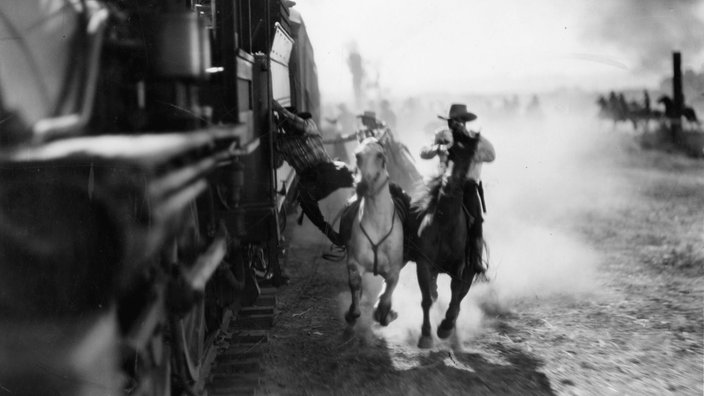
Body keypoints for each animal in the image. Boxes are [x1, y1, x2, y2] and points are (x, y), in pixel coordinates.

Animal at [344, 138, 404, 326]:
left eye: (379, 155)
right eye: (357, 155)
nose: (362, 186)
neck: (377, 224)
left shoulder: (394, 270)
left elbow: (388, 289)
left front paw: (385, 312)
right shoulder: (354, 262)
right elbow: (355, 283)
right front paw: (353, 312)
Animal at [410, 135, 482, 348]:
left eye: (469, 158)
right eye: (447, 154)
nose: (450, 181)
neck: (445, 222)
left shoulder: (460, 267)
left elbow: (455, 297)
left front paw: (445, 327)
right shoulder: (424, 263)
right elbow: (426, 298)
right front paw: (426, 335)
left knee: (459, 298)